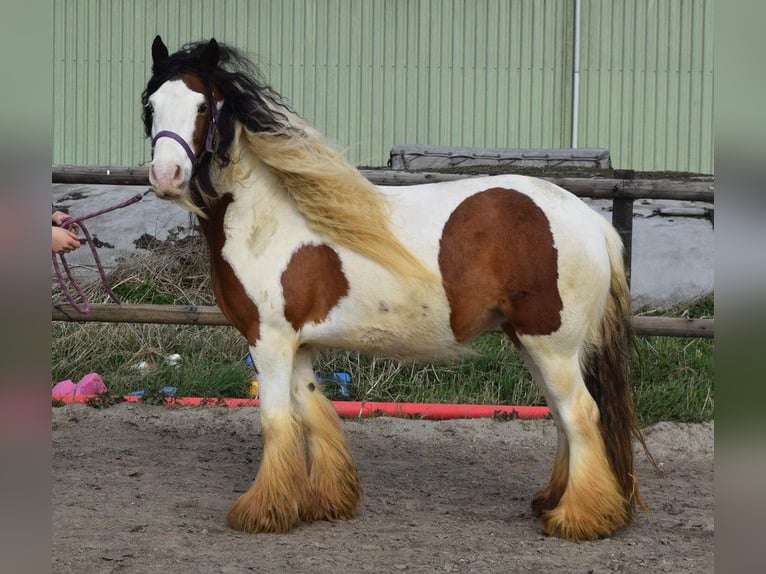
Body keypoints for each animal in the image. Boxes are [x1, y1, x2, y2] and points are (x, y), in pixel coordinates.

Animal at [142, 36, 646, 541]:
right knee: (563, 418)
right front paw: (326, 501)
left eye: (202, 105)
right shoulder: (298, 345)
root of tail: (593, 223)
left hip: (551, 344)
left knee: (580, 414)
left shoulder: (269, 341)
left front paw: (263, 511)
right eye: (150, 105)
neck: (266, 221)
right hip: (534, 344)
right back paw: (554, 502)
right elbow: (313, 413)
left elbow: (276, 422)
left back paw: (579, 518)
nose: (166, 176)